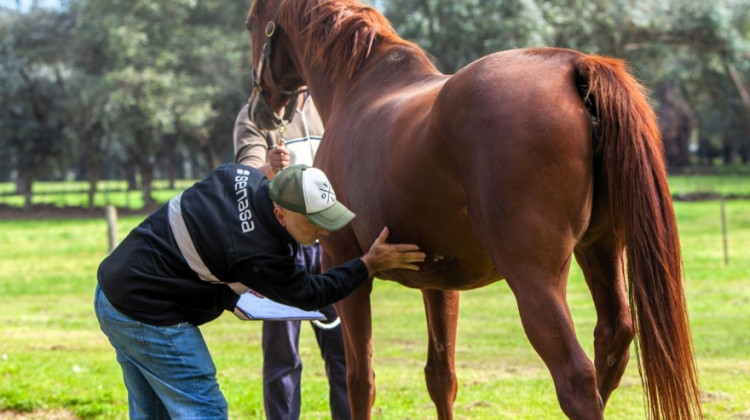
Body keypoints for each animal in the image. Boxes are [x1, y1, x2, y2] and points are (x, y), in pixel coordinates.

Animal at [244, 1, 704, 418]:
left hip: (535, 277)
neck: (359, 88)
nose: (260, 108)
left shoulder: (345, 263)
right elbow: (441, 377)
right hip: (601, 250)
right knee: (612, 341)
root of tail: (573, 66)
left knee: (576, 378)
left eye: (251, 21)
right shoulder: (437, 281)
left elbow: (359, 380)